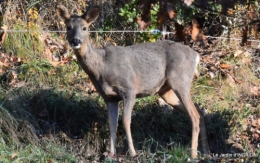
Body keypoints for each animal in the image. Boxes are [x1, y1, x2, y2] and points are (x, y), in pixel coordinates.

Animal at [57, 4, 209, 159]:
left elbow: (125, 121)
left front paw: (133, 152)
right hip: (165, 90)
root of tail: (196, 56)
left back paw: (193, 154)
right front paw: (111, 153)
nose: (76, 41)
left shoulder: (129, 89)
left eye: (84, 28)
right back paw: (206, 151)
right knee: (200, 113)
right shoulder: (109, 97)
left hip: (180, 80)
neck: (102, 67)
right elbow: (112, 123)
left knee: (194, 115)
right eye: (68, 27)